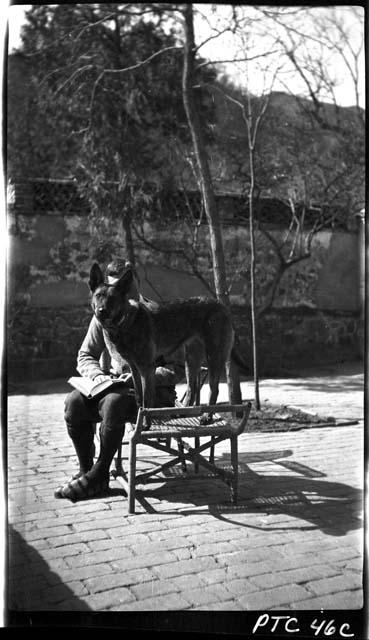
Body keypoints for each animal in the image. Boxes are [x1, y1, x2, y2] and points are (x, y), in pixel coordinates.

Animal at [87, 262, 234, 422]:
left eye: (112, 298)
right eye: (98, 296)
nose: (101, 311)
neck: (125, 322)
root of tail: (221, 305)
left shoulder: (147, 368)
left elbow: (147, 400)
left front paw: (145, 422)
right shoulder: (134, 368)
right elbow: (139, 396)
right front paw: (139, 418)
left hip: (214, 357)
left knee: (214, 389)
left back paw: (207, 416)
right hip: (191, 360)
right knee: (192, 388)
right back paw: (184, 411)